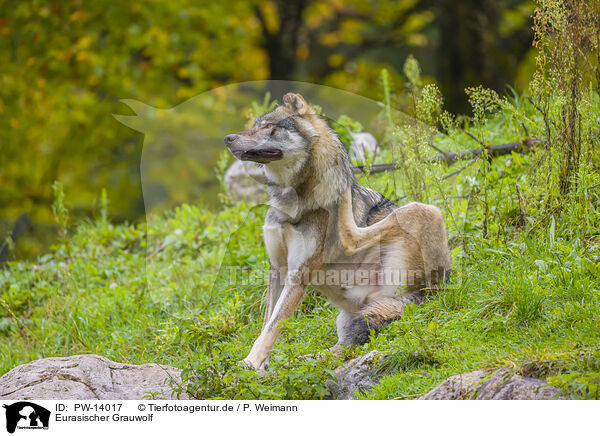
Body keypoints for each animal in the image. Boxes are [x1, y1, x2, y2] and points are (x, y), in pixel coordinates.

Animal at [225, 93, 450, 372]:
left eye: (269, 127)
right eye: (255, 125)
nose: (228, 138)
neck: (291, 202)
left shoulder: (298, 274)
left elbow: (273, 325)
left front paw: (249, 363)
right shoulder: (277, 269)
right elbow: (267, 323)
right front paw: (259, 364)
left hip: (423, 211)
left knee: (355, 235)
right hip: (346, 320)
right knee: (338, 351)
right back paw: (296, 363)